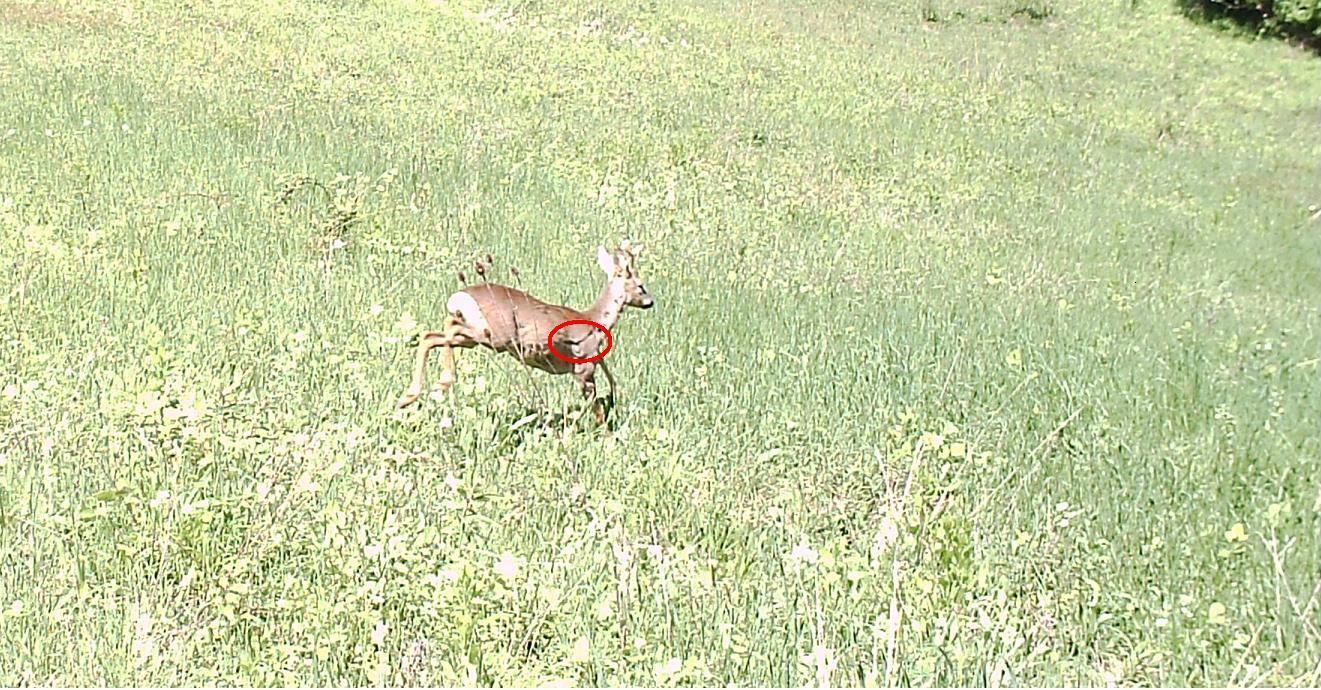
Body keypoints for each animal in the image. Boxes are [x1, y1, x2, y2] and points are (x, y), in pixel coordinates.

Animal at [396, 241, 655, 422]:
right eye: (641, 285)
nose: (650, 302)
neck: (596, 319)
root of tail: (459, 297)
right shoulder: (584, 365)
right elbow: (597, 410)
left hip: (475, 337)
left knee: (432, 335)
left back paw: (410, 396)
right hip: (494, 334)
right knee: (444, 331)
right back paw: (440, 383)